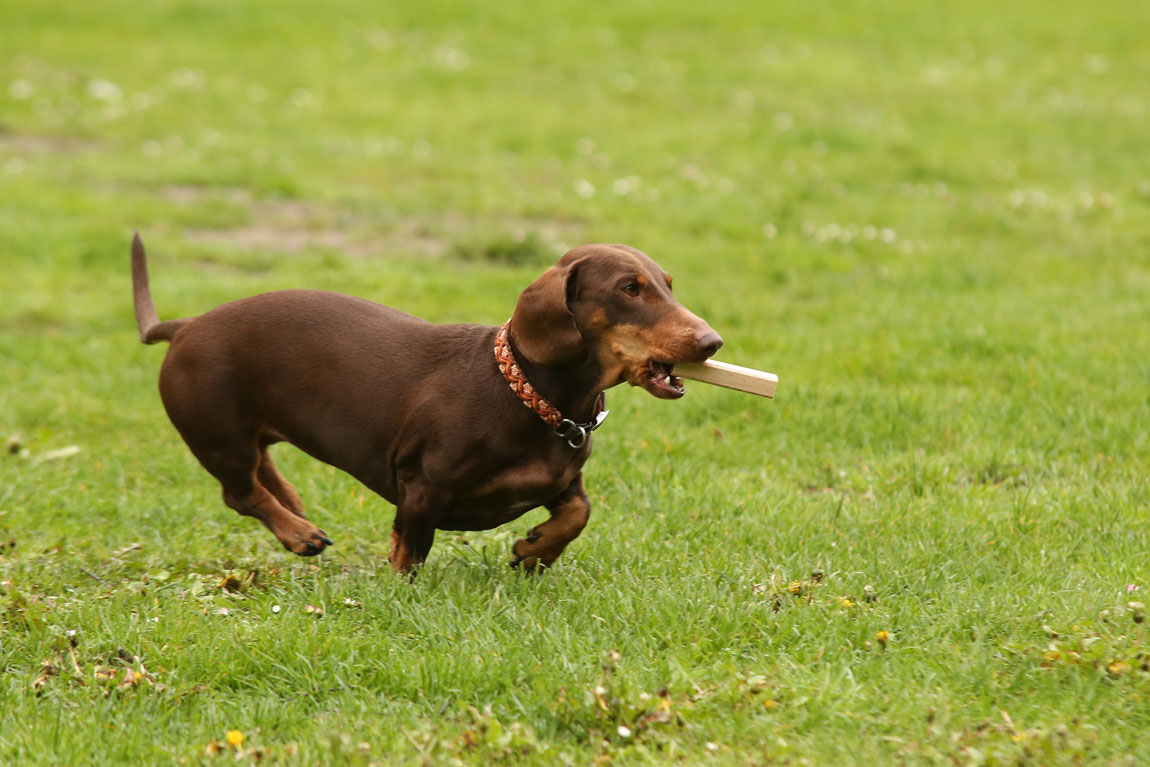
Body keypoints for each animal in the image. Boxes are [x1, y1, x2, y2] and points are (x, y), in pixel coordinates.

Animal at [132, 234, 717, 570]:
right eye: (629, 289)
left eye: (667, 284)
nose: (713, 343)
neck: (526, 397)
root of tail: (184, 327)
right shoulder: (421, 490)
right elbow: (409, 553)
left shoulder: (561, 483)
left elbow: (579, 511)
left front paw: (534, 550)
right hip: (217, 434)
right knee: (240, 492)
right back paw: (299, 534)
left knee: (263, 472)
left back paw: (295, 509)